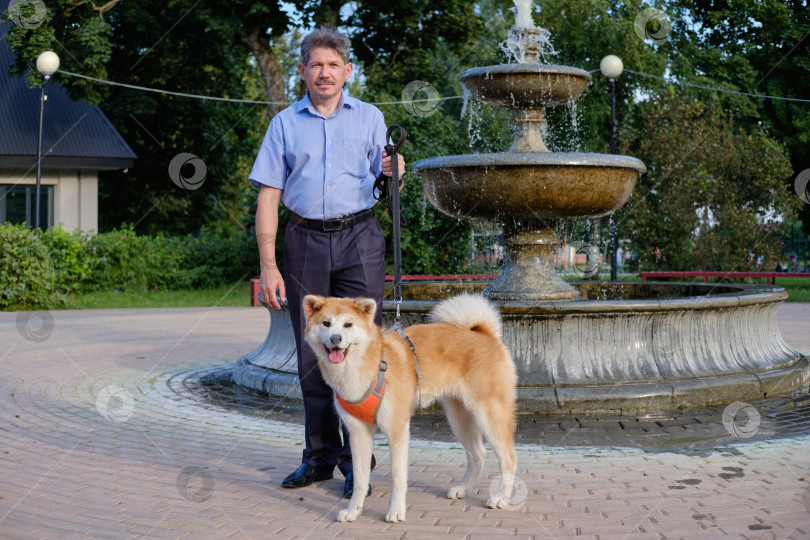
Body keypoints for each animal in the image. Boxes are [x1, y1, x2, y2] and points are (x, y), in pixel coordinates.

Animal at [300, 292, 516, 524]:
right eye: (326, 323)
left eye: (348, 324)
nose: (336, 339)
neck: (368, 366)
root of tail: (483, 333)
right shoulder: (358, 433)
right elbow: (359, 480)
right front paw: (354, 511)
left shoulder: (397, 430)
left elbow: (397, 478)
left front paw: (396, 510)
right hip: (459, 418)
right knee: (478, 455)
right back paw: (463, 489)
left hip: (490, 415)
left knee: (509, 459)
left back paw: (501, 498)